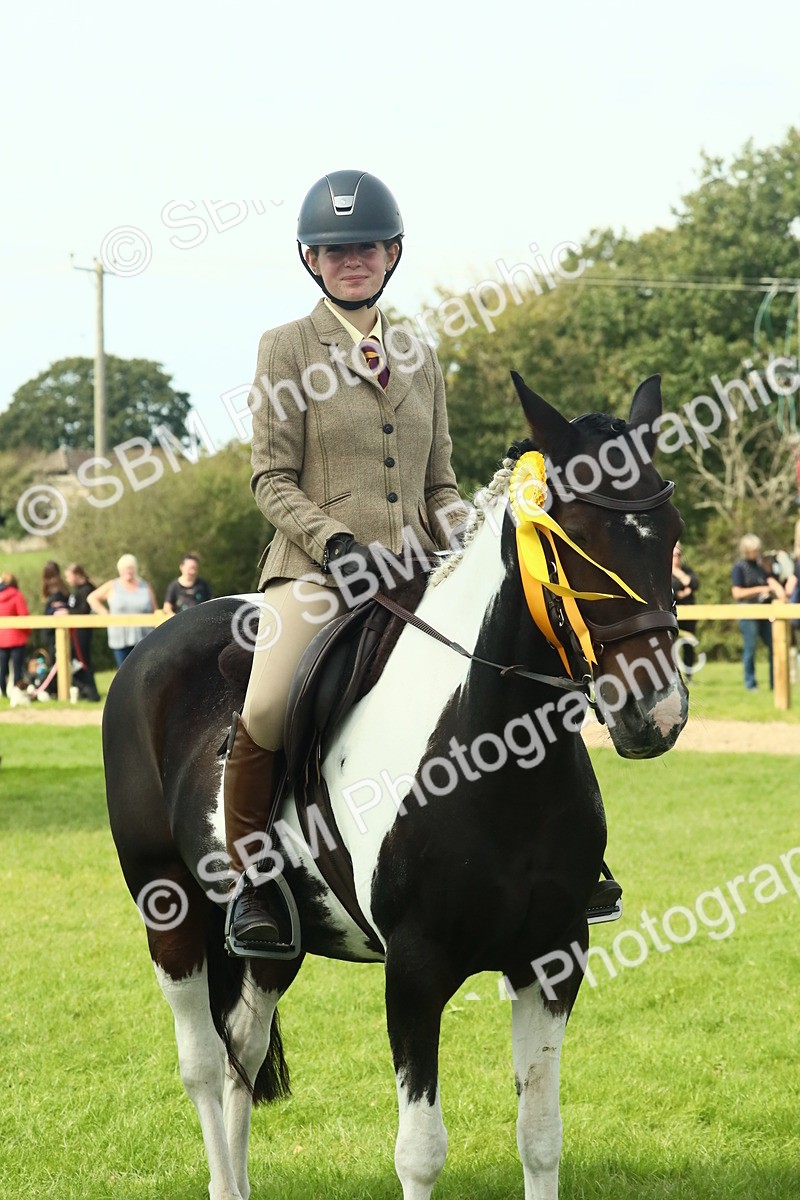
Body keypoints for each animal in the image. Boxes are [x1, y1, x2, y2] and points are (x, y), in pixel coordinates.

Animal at [103, 372, 688, 1200]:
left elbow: (541, 1136)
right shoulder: (415, 972)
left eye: (668, 531)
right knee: (205, 1066)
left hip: (274, 945)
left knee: (244, 1050)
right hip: (169, 911)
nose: (655, 711)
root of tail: (151, 649)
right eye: (571, 537)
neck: (496, 756)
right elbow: (420, 1150)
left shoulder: (553, 958)